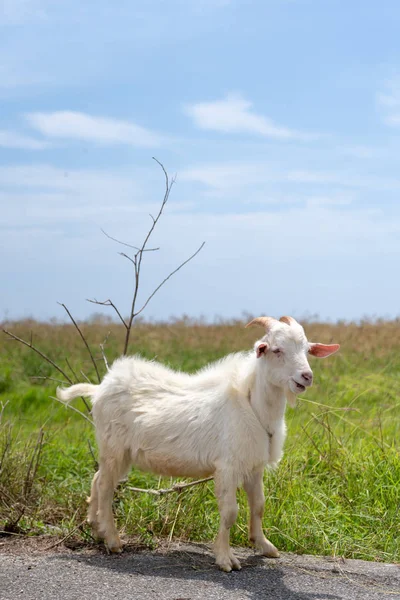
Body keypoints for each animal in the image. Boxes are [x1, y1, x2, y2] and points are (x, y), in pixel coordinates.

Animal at [57, 314, 338, 572]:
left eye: (307, 350)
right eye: (277, 350)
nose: (306, 376)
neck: (251, 405)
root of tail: (99, 388)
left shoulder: (253, 466)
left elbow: (258, 506)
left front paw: (264, 545)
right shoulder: (227, 466)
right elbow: (230, 512)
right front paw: (225, 559)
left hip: (119, 452)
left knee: (98, 479)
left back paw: (96, 528)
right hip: (114, 446)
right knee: (105, 485)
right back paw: (113, 540)